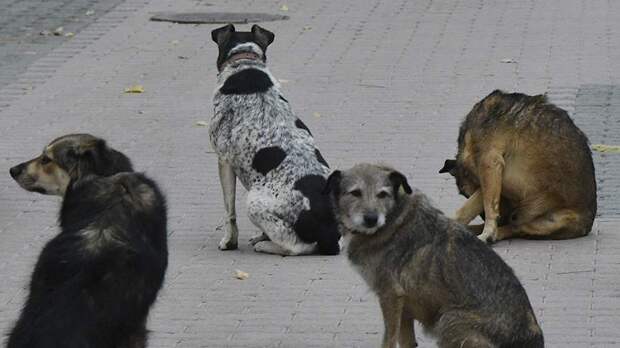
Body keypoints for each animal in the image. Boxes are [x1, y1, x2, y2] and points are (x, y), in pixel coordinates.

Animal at [209, 23, 340, 254]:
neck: (245, 61)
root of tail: (329, 232)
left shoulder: (223, 160)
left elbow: (229, 210)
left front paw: (229, 241)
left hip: (253, 203)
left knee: (295, 247)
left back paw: (266, 245)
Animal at [324, 164, 544, 348]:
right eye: (355, 193)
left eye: (382, 194)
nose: (371, 219)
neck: (393, 220)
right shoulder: (404, 307)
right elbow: (406, 342)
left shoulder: (390, 296)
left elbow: (389, 340)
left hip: (448, 320)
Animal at [438, 89, 600, 242]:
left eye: (466, 194)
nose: (501, 220)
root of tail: (588, 226)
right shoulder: (493, 176)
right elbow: (470, 208)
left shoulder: (489, 163)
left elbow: (487, 205)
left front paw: (487, 232)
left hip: (548, 221)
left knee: (516, 229)